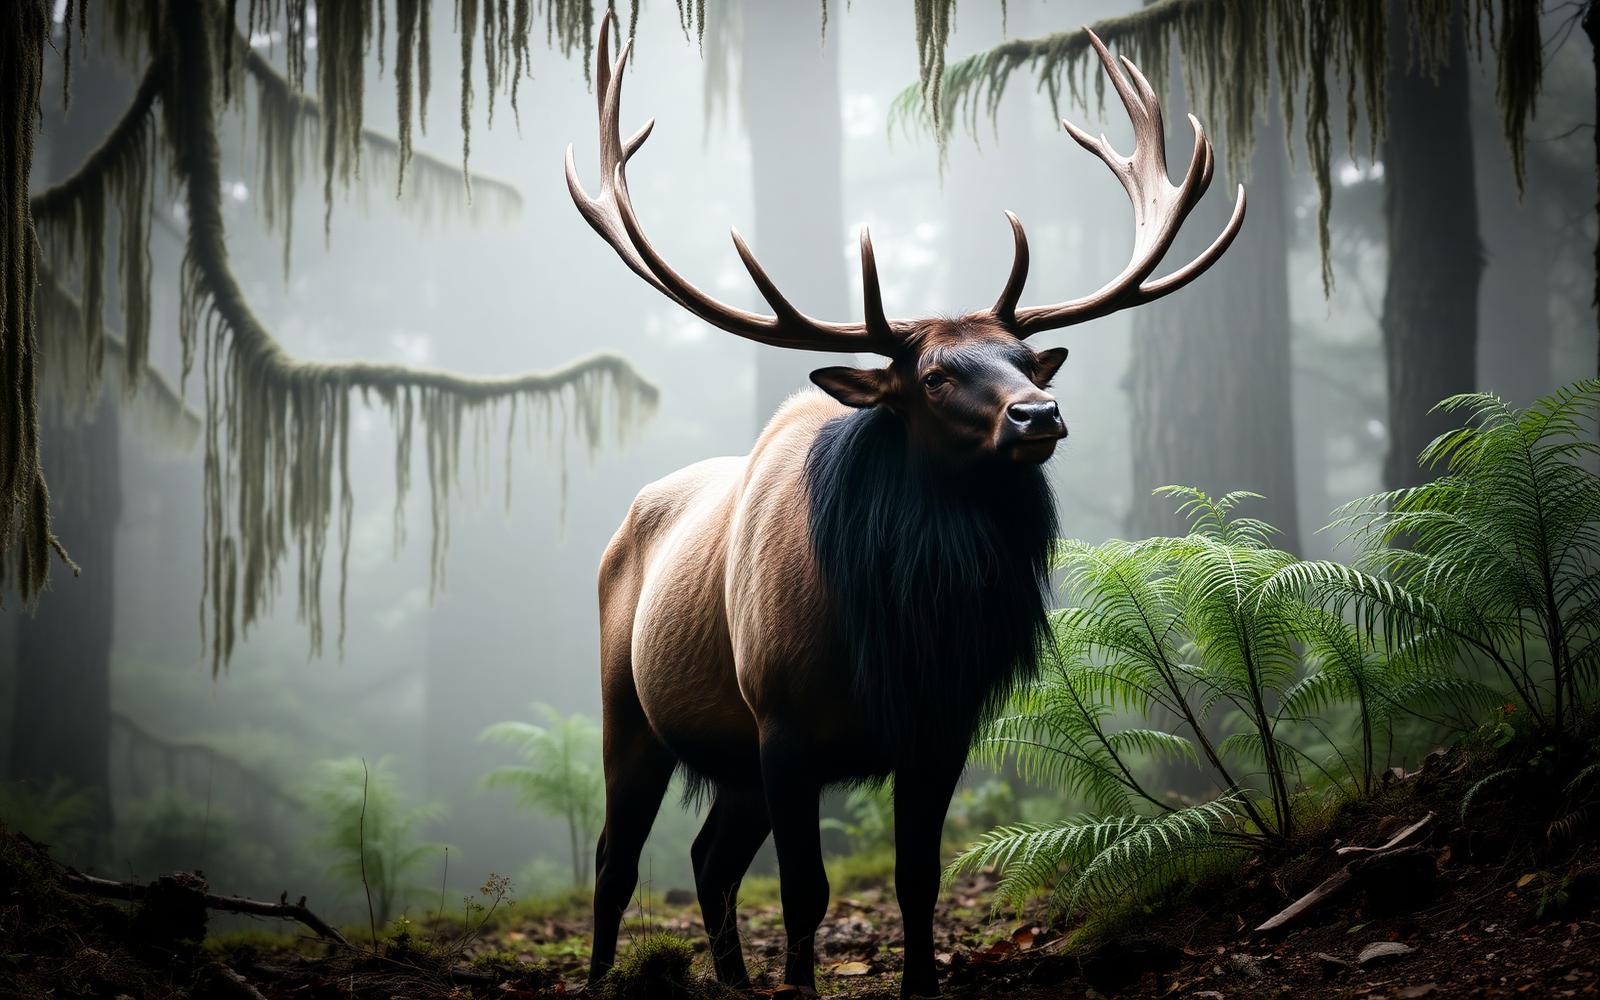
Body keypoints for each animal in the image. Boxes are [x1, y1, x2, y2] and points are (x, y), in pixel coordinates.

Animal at [565, 15, 1244, 998]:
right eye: (934, 375)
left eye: (1024, 360)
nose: (1039, 414)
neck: (894, 628)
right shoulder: (783, 723)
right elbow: (807, 892)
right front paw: (802, 987)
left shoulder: (941, 722)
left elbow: (916, 876)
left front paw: (921, 980)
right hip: (631, 708)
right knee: (618, 857)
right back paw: (602, 975)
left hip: (728, 757)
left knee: (707, 858)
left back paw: (734, 981)